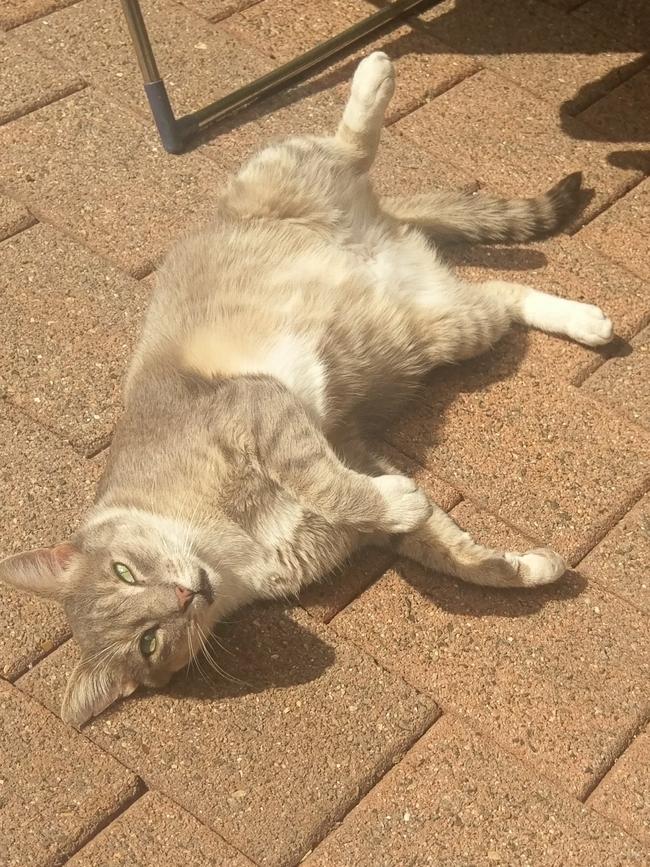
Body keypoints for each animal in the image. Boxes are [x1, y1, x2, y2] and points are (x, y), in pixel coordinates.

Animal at [0, 54, 612, 728]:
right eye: (149, 641)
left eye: (125, 571)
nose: (186, 593)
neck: (232, 550)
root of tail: (384, 226)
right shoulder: (351, 472)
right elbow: (444, 546)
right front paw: (521, 567)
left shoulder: (257, 410)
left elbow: (320, 479)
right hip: (445, 327)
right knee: (504, 298)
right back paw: (586, 321)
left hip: (276, 175)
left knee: (345, 147)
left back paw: (373, 78)